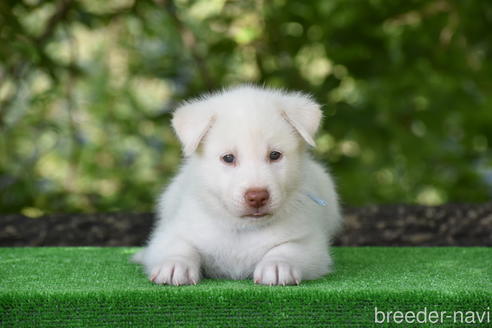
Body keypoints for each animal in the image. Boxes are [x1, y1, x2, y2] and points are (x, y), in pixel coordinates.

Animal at [135, 84, 342, 284]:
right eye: (228, 158)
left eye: (275, 155)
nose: (257, 197)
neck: (242, 229)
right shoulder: (171, 233)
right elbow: (179, 246)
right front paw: (174, 266)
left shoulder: (310, 243)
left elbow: (288, 249)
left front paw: (278, 266)